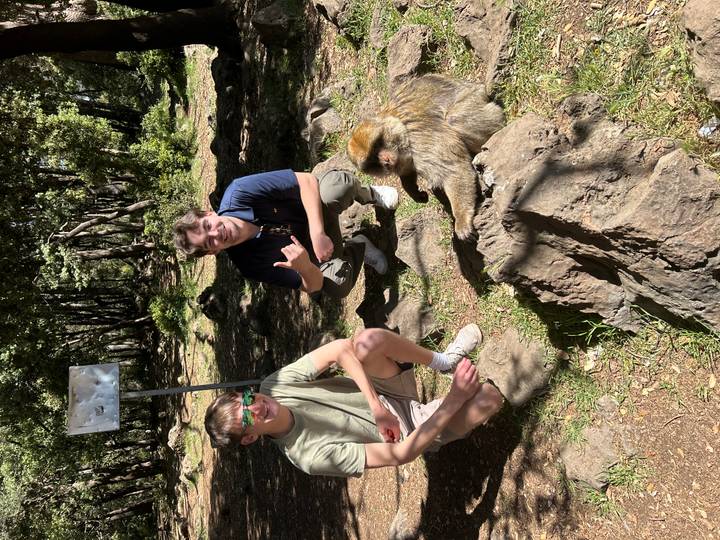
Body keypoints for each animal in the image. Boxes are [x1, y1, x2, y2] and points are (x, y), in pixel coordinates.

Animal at [347, 74, 505, 240]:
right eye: (372, 160)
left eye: (377, 144)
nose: (386, 160)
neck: (399, 126)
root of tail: (479, 88)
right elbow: (407, 170)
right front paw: (412, 190)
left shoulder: (420, 142)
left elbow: (454, 169)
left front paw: (461, 218)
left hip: (474, 102)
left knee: (454, 119)